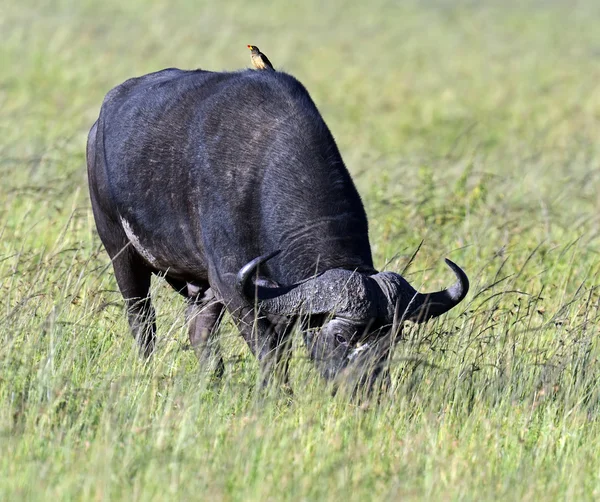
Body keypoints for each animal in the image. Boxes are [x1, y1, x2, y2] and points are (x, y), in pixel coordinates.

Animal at [86, 66, 468, 388]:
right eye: (341, 336)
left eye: (391, 338)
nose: (367, 388)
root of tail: (100, 121)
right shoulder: (233, 287)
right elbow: (269, 351)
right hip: (122, 253)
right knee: (142, 322)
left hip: (200, 289)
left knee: (199, 330)